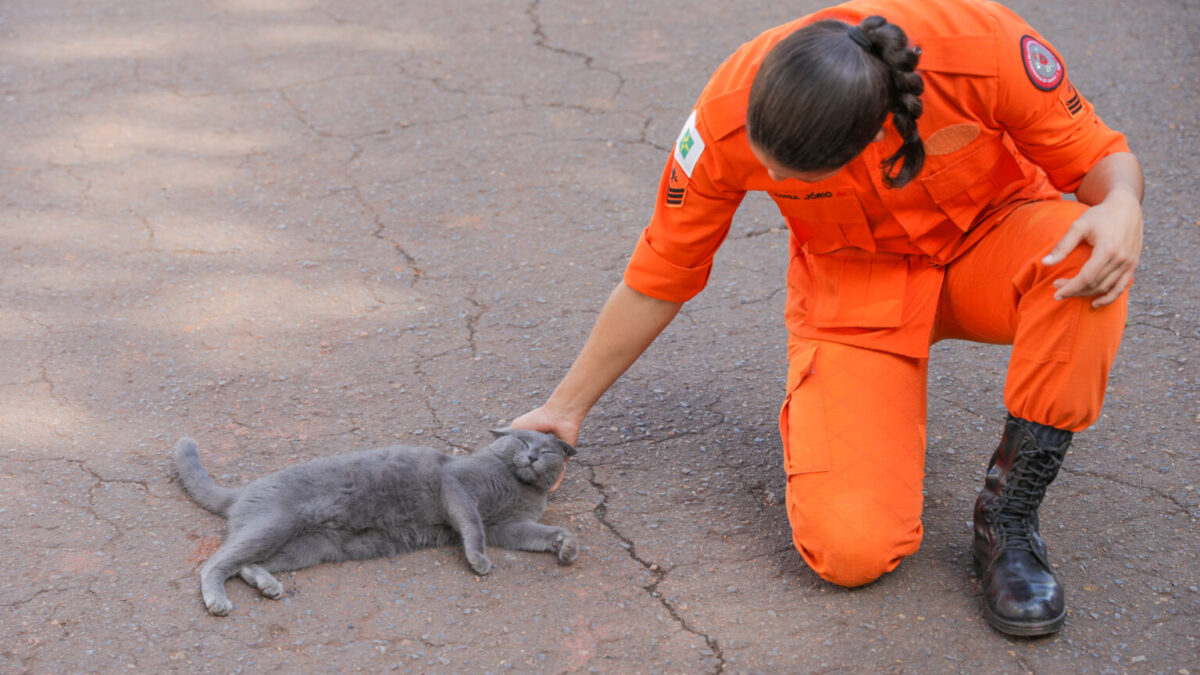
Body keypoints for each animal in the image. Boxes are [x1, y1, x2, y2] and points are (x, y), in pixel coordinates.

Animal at [172, 427, 576, 612]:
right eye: (521, 442)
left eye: (547, 450)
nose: (533, 456)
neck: (516, 485)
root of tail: (243, 490)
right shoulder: (458, 487)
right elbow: (472, 526)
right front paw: (478, 560)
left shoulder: (507, 527)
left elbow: (536, 533)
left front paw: (565, 545)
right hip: (274, 526)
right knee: (216, 563)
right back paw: (217, 601)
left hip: (305, 548)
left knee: (245, 565)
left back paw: (268, 585)